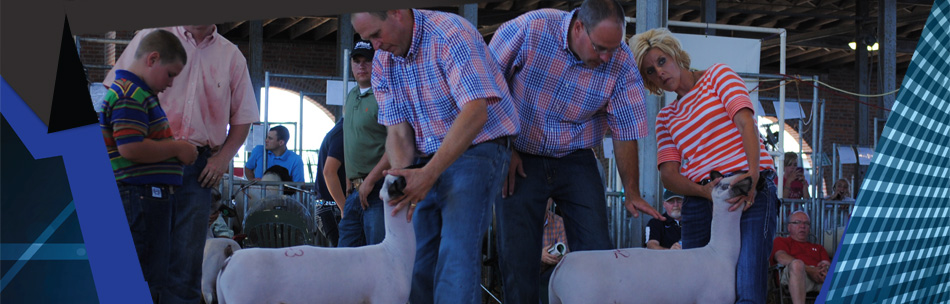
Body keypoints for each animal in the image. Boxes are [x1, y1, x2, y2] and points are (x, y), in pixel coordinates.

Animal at [548, 173, 756, 304]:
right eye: (724, 185)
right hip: (582, 297)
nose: (751, 178)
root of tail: (562, 264)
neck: (720, 253)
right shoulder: (712, 299)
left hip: (557, 300)